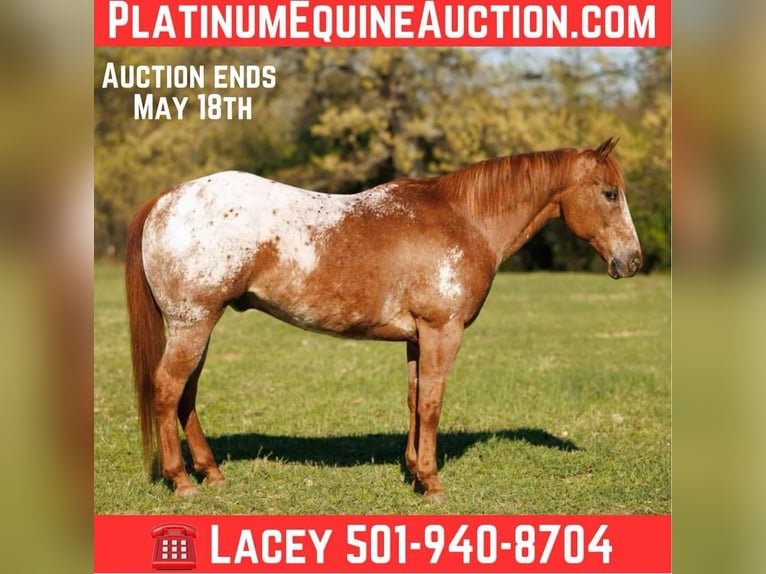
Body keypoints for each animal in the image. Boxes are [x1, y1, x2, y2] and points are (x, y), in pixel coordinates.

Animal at [125, 137, 642, 500]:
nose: (633, 261)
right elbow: (432, 404)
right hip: (193, 324)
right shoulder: (442, 332)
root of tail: (165, 200)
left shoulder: (416, 338)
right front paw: (432, 483)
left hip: (199, 326)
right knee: (168, 390)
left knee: (186, 395)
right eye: (609, 193)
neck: (466, 221)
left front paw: (413, 472)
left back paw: (212, 474)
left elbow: (413, 401)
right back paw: (182, 482)